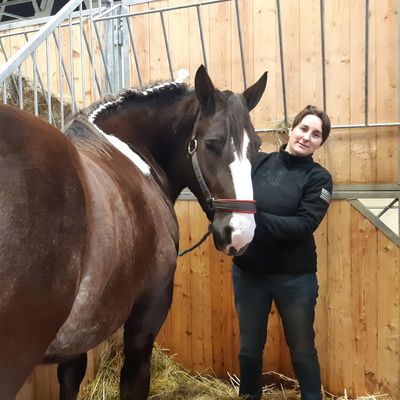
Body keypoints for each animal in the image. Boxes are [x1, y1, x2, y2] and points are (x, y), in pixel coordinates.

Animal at [0, 66, 268, 400]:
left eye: (256, 145)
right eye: (211, 143)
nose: (241, 233)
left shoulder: (79, 333)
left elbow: (70, 377)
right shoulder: (148, 311)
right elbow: (134, 379)